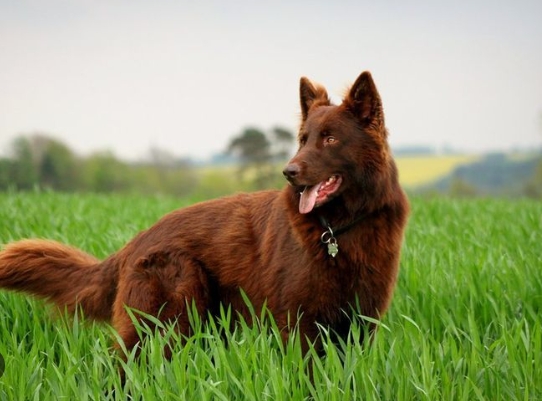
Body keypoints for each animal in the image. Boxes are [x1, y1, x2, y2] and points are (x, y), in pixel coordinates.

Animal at [0, 70, 408, 354]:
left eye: (330, 139)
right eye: (304, 140)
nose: (288, 172)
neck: (339, 229)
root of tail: (135, 242)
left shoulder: (360, 324)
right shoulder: (300, 324)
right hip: (170, 317)